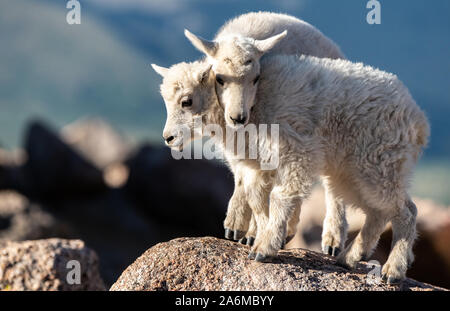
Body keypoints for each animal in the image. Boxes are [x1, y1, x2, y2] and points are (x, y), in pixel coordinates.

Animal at [151, 54, 428, 286]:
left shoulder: (294, 150)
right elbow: (256, 196)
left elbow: (279, 196)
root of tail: (417, 119)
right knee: (378, 212)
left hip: (378, 161)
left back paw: (393, 270)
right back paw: (349, 257)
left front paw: (265, 248)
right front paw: (264, 236)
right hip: (351, 171)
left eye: (186, 101)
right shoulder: (260, 162)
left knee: (405, 211)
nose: (168, 138)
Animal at [181, 11, 346, 251]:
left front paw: (243, 228)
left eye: (256, 78)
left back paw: (332, 239)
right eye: (219, 78)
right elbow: (245, 177)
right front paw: (237, 225)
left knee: (331, 185)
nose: (238, 117)